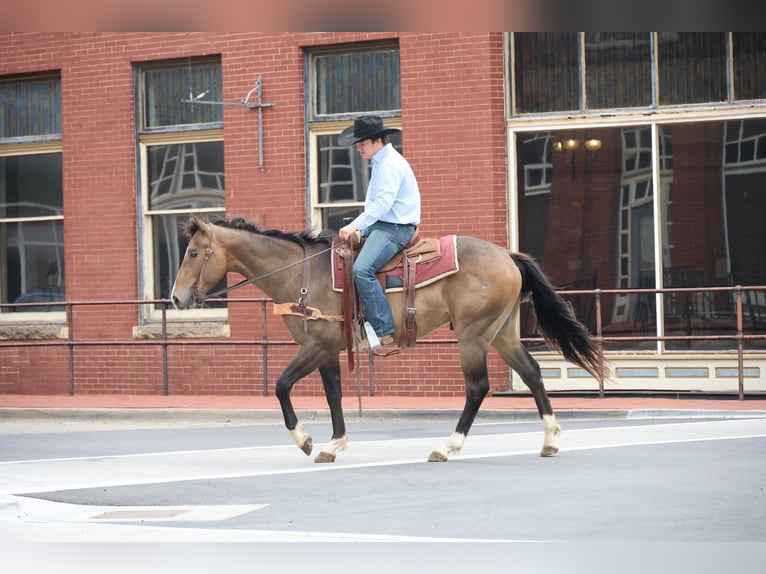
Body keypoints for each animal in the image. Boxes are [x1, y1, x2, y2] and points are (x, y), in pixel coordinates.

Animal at [171, 214, 610, 463]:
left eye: (193, 253)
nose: (176, 298)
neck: (300, 274)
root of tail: (507, 255)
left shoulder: (316, 346)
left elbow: (281, 386)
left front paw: (305, 440)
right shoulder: (328, 350)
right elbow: (333, 394)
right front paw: (334, 445)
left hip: (473, 335)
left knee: (477, 387)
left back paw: (447, 447)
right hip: (500, 333)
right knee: (533, 373)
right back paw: (550, 439)